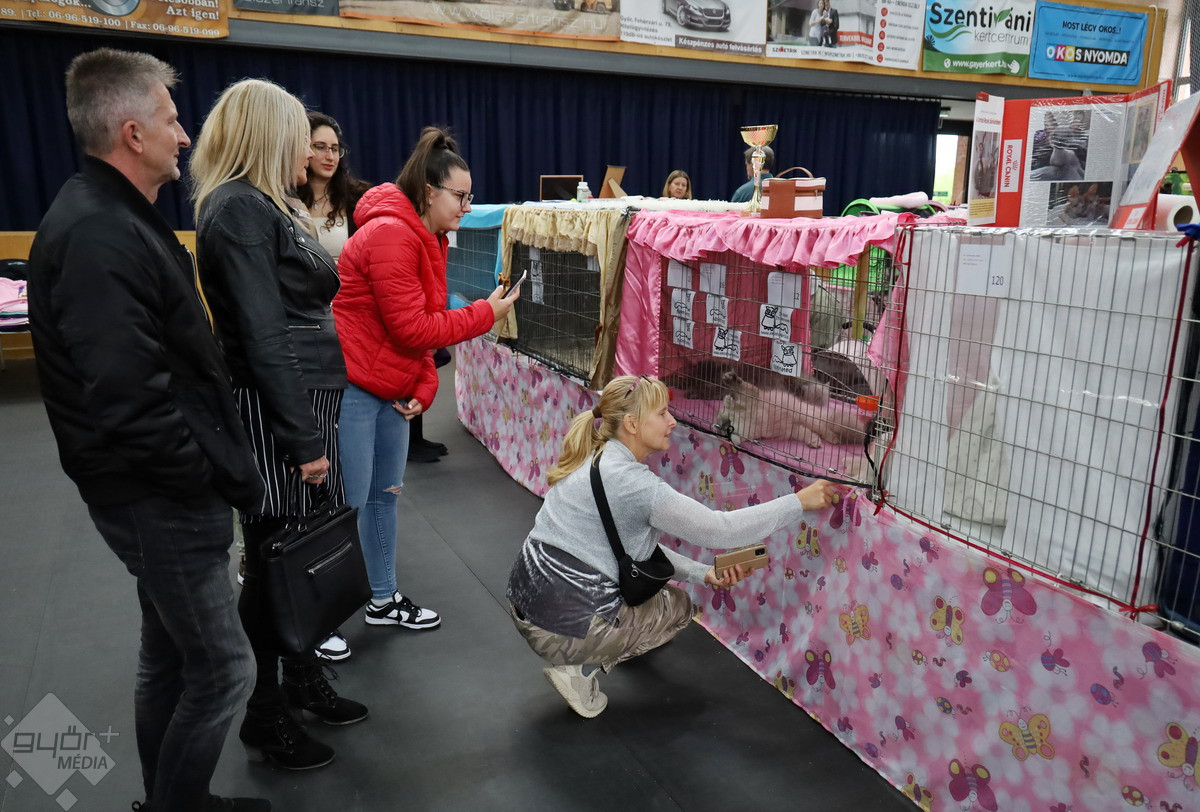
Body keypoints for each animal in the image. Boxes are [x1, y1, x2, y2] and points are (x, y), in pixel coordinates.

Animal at [716, 369, 871, 449]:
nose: (720, 426)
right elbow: (736, 439)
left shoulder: (752, 398)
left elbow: (741, 388)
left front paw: (729, 379)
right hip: (796, 430)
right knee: (812, 433)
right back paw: (815, 443)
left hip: (810, 421)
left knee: (824, 429)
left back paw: (833, 439)